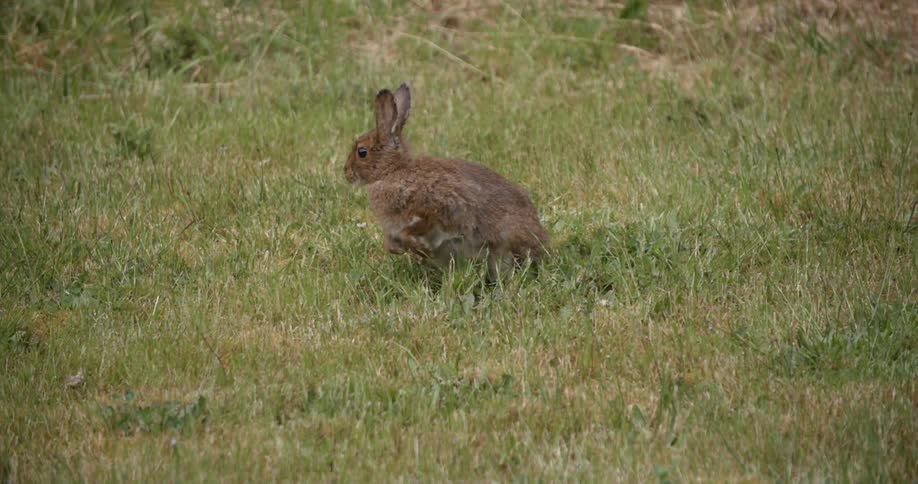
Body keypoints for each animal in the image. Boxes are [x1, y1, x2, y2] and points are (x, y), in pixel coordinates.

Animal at [344, 82, 548, 279]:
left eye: (362, 152)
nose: (346, 173)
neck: (392, 171)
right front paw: (401, 249)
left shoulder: (436, 206)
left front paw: (421, 248)